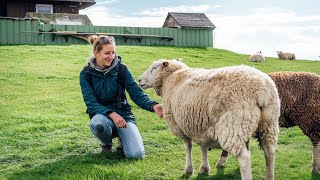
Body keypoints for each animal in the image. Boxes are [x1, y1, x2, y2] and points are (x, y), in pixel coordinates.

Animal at [138, 59, 280, 179]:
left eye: (154, 68)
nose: (139, 80)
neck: (171, 78)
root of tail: (262, 90)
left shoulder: (180, 126)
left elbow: (188, 147)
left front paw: (188, 169)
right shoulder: (201, 125)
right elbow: (203, 147)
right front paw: (204, 169)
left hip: (233, 126)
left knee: (244, 158)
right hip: (269, 124)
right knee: (270, 153)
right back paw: (270, 175)